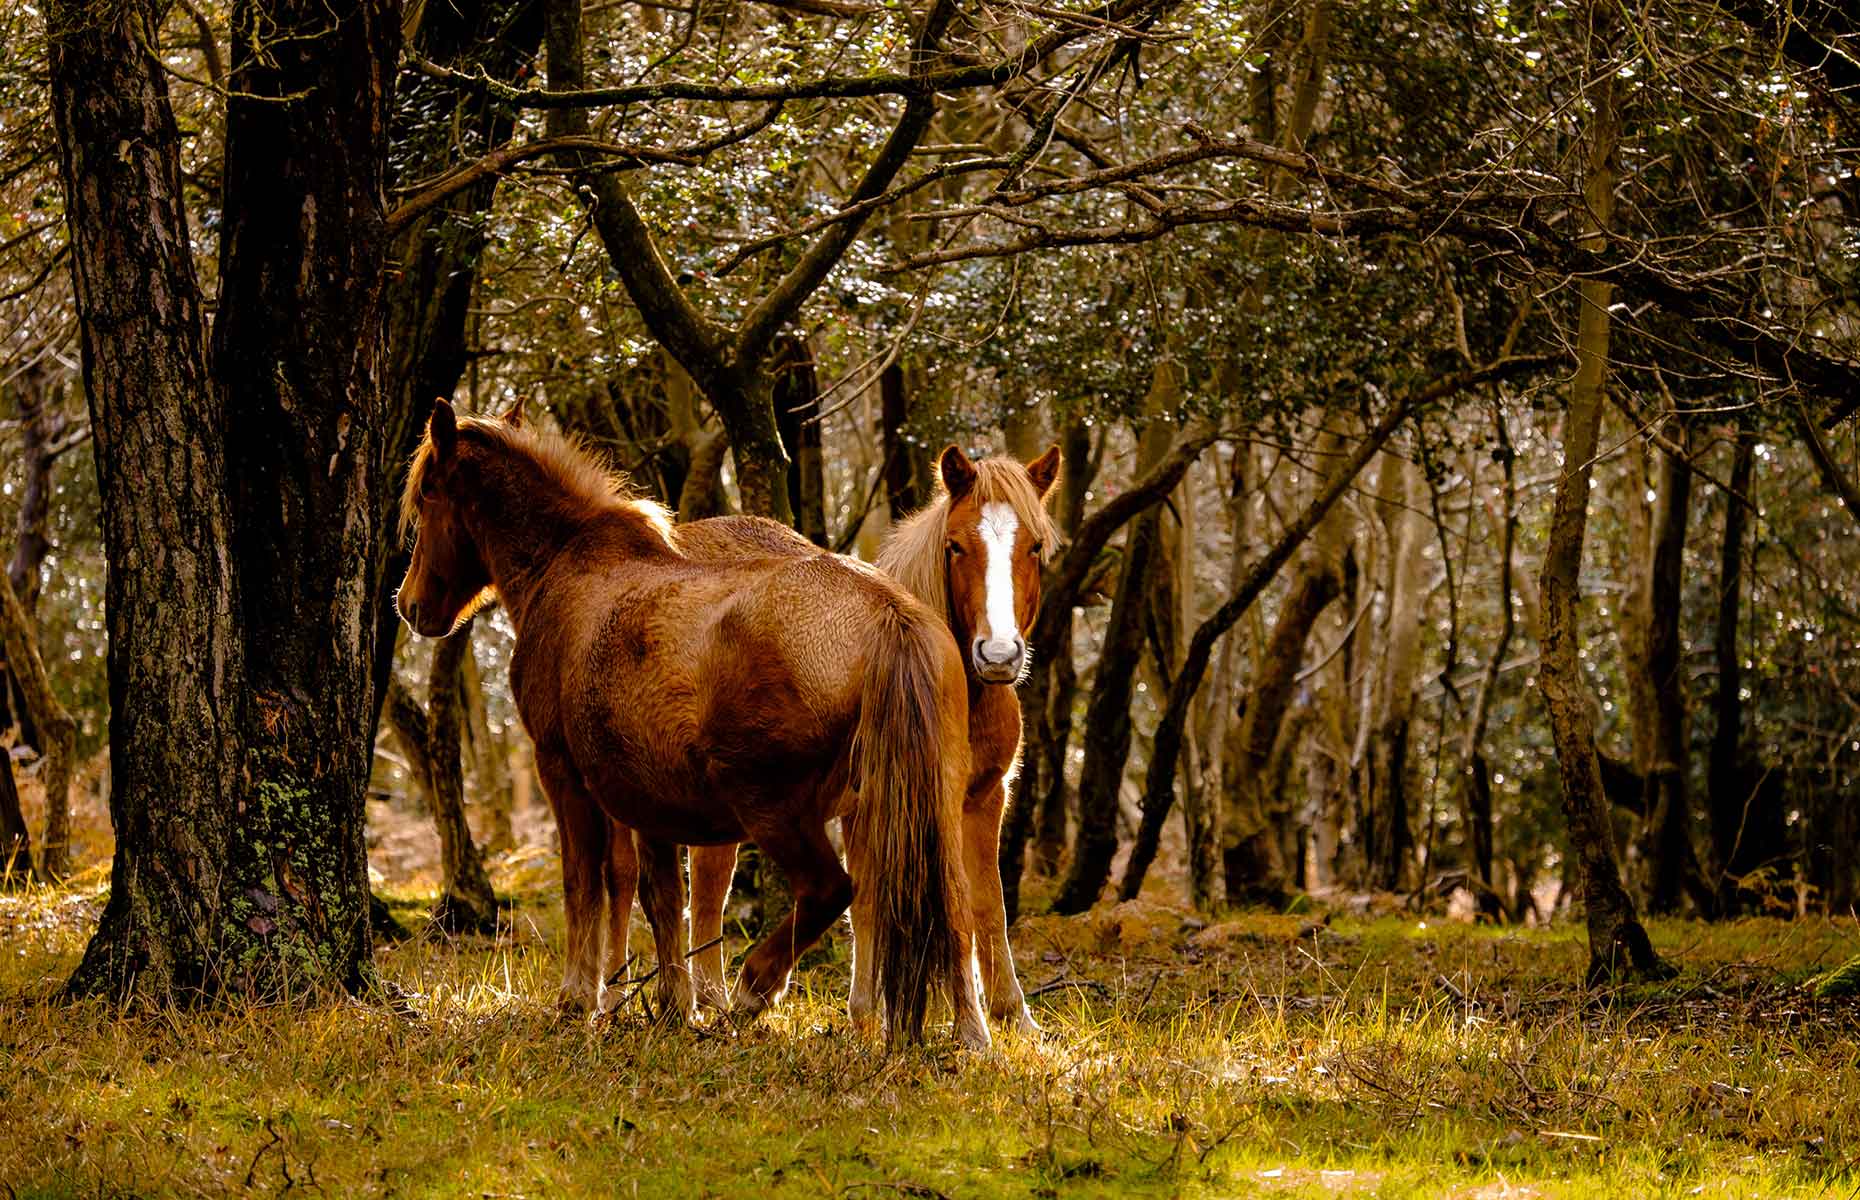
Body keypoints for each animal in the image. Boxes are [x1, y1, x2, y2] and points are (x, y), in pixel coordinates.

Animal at [394, 398, 989, 1041]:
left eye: (427, 494)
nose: (410, 605)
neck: (568, 568)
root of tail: (887, 613)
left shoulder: (561, 773)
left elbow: (583, 883)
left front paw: (579, 997)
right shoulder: (645, 795)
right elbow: (658, 899)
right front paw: (674, 1003)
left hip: (773, 809)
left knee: (828, 890)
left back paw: (754, 986)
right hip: (922, 804)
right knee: (948, 904)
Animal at [602, 444, 1063, 1034]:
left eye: (1035, 547)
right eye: (955, 546)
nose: (999, 655)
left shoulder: (984, 797)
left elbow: (986, 905)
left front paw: (1009, 1018)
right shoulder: (885, 804)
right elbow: (908, 900)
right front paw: (910, 1021)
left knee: (708, 885)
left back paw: (710, 998)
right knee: (624, 878)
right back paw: (622, 995)